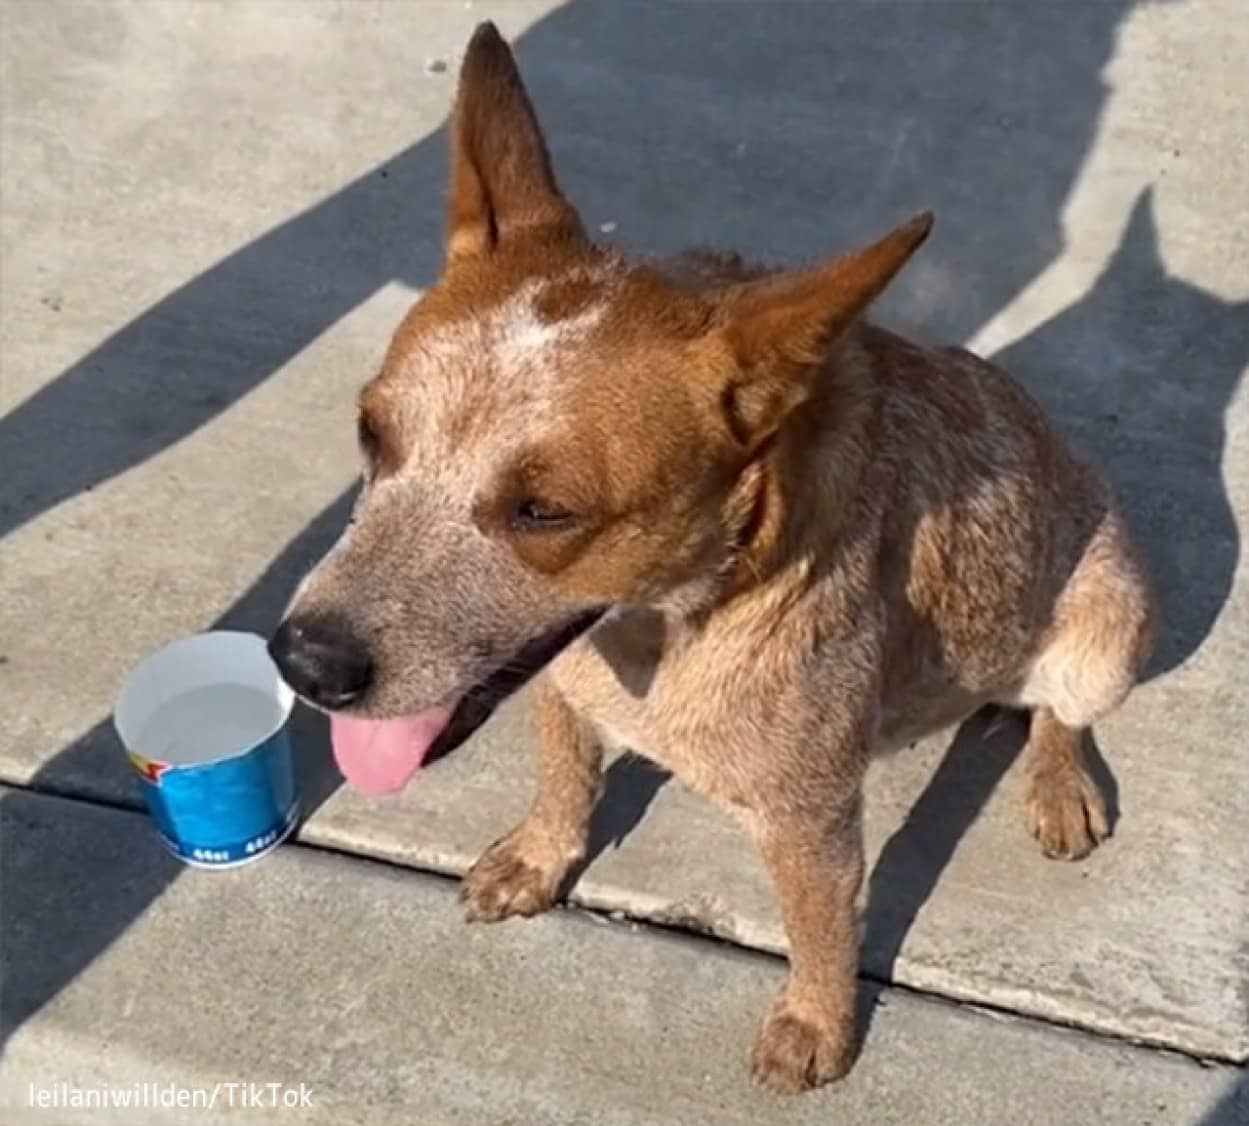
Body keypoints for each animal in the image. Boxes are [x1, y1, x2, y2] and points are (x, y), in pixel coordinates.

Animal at [268, 24, 1154, 1103]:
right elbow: (564, 778)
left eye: (544, 510)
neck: (664, 620)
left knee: (1059, 713)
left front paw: (816, 1021)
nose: (303, 662)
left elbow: (821, 929)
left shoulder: (811, 821)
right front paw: (541, 855)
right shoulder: (558, 683)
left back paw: (1058, 780)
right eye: (372, 434)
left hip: (1107, 632)